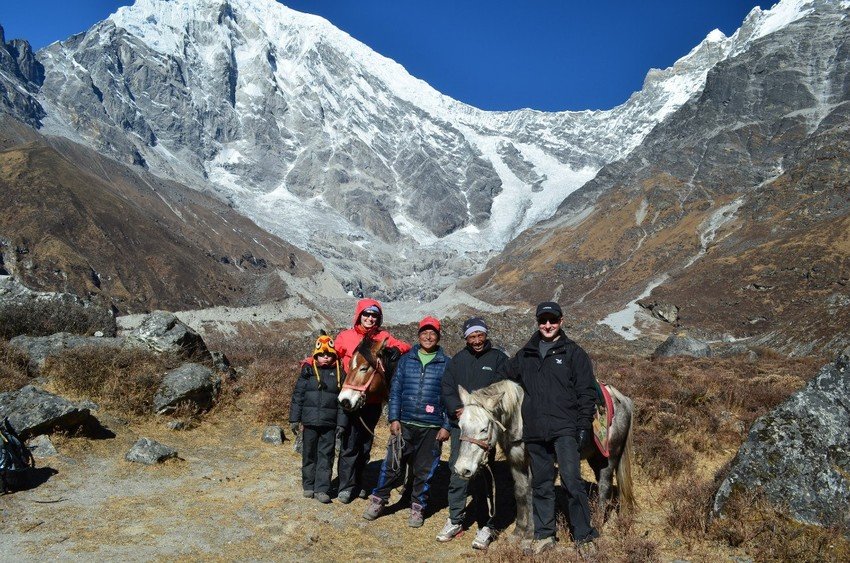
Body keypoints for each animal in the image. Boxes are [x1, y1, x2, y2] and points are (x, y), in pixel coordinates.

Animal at [454, 378, 632, 536]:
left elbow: (533, 493)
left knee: (604, 487)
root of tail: (623, 399)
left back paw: (597, 524)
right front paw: (518, 532)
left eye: (484, 429)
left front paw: (530, 534)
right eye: (460, 425)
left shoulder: (536, 464)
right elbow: (520, 493)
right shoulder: (516, 462)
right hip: (596, 458)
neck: (520, 420)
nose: (462, 469)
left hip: (610, 457)